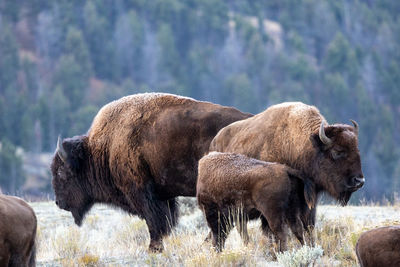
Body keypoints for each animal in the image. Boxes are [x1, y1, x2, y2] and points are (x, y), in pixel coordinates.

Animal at [50, 93, 250, 252]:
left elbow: (153, 220)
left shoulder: (141, 192)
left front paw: (153, 248)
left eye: (61, 173)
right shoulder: (164, 196)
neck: (104, 148)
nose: (59, 202)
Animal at [211, 101, 364, 236]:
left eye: (357, 150)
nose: (359, 181)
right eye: (337, 151)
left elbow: (308, 226)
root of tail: (215, 140)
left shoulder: (309, 201)